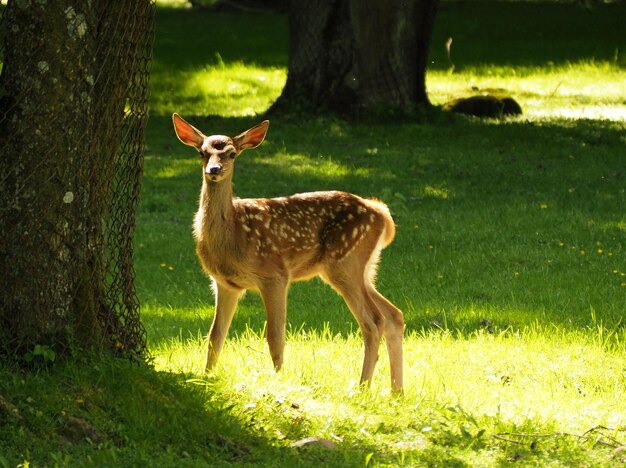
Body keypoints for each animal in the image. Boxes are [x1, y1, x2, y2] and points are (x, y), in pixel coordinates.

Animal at [171, 115, 404, 394]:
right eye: (202, 152)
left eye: (232, 153)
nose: (214, 170)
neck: (234, 235)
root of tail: (381, 213)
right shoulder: (225, 283)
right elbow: (215, 335)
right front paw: (205, 379)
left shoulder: (275, 274)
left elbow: (275, 334)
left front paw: (279, 381)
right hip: (363, 269)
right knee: (394, 315)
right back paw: (397, 392)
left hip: (345, 262)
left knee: (373, 322)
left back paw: (362, 388)